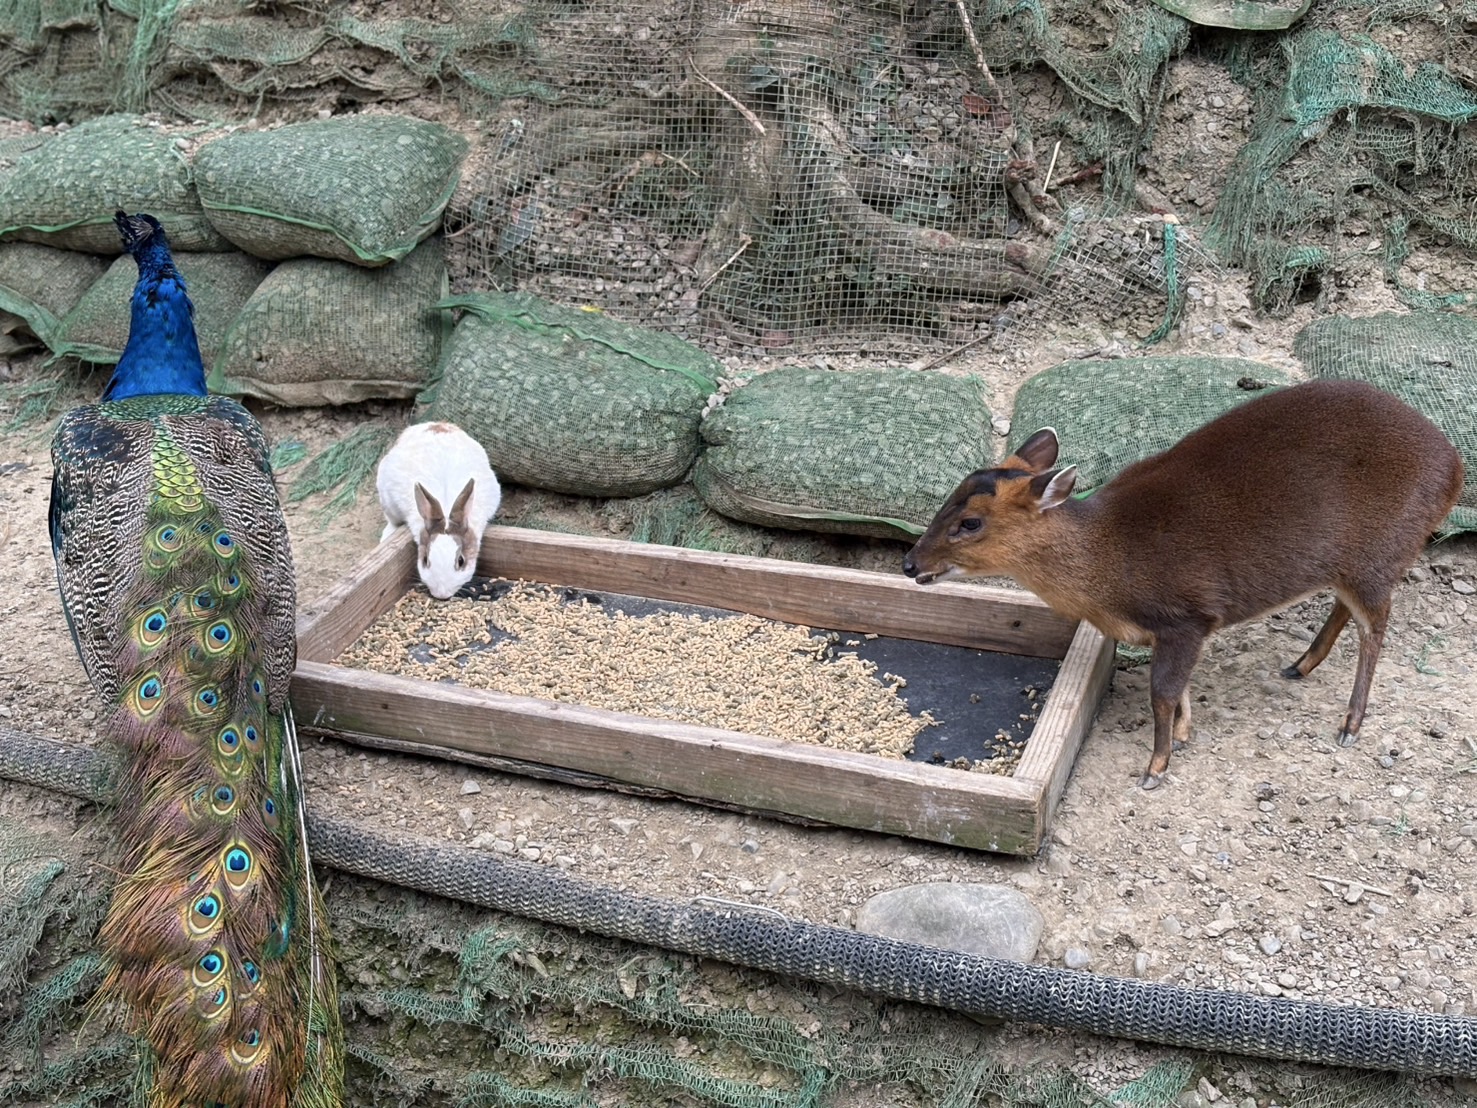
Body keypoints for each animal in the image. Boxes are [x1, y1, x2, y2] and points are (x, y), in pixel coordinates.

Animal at [375, 422, 502, 599]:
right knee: (392, 521)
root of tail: (433, 424)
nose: (441, 594)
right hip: (387, 500)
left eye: (461, 561)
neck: (446, 505)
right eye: (425, 560)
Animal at [898, 381, 1465, 791]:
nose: (909, 563)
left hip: (1382, 551)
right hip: (1355, 563)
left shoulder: (1187, 613)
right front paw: (1187, 735)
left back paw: (1349, 724)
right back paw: (1300, 665)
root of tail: (1455, 467)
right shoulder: (1183, 627)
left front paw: (1155, 768)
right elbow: (1181, 689)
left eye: (970, 522)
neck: (1109, 562)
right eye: (947, 499)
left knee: (1377, 626)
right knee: (1348, 609)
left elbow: (1162, 693)